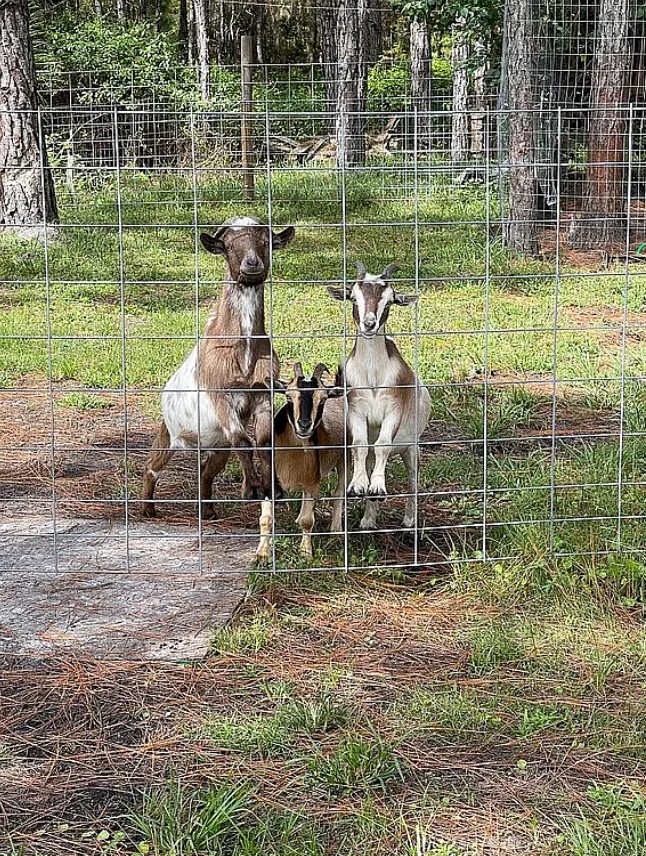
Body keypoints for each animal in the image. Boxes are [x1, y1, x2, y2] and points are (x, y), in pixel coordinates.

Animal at [141, 216, 295, 519]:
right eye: (229, 245)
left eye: (266, 242)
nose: (252, 263)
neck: (243, 351)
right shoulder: (221, 393)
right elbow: (244, 441)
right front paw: (252, 490)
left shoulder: (263, 393)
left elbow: (263, 441)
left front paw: (273, 489)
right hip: (169, 432)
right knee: (152, 465)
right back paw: (147, 509)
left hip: (217, 446)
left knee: (206, 472)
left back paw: (208, 512)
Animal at [255, 362, 347, 561]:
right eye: (288, 397)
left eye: (322, 399)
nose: (304, 425)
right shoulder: (268, 479)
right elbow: (266, 520)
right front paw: (261, 555)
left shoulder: (312, 481)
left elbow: (307, 520)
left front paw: (306, 553)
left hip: (347, 455)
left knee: (339, 492)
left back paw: (336, 532)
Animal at [328, 260, 430, 531]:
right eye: (353, 297)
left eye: (390, 300)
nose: (369, 323)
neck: (372, 375)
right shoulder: (356, 408)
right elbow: (360, 444)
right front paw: (359, 486)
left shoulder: (393, 409)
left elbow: (383, 444)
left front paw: (378, 488)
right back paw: (368, 519)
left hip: (411, 448)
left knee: (413, 480)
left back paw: (409, 520)